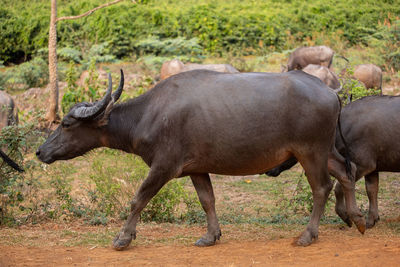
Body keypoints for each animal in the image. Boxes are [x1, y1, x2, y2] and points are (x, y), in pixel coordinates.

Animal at [36, 69, 364, 251]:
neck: (149, 114)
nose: (40, 151)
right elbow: (207, 200)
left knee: (321, 187)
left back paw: (308, 235)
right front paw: (211, 236)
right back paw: (357, 219)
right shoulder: (196, 168)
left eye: (66, 123)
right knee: (346, 173)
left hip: (310, 151)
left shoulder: (164, 166)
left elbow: (138, 199)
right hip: (322, 151)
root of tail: (330, 91)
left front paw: (123, 239)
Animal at [268, 96, 398, 230]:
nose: (268, 170)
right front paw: (371, 220)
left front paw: (346, 216)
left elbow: (339, 187)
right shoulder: (372, 169)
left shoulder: (363, 165)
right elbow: (371, 190)